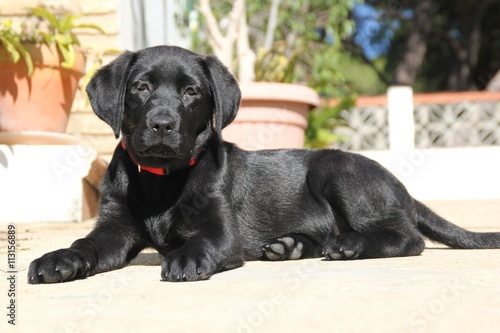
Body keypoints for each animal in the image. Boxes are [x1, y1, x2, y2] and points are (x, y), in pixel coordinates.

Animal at [28, 45, 500, 282]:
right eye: (141, 87)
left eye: (191, 92)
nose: (162, 124)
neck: (163, 179)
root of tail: (402, 188)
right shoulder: (114, 228)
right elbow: (86, 243)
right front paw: (59, 259)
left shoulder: (222, 231)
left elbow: (204, 241)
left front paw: (185, 258)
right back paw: (290, 246)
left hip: (337, 171)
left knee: (407, 237)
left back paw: (349, 245)